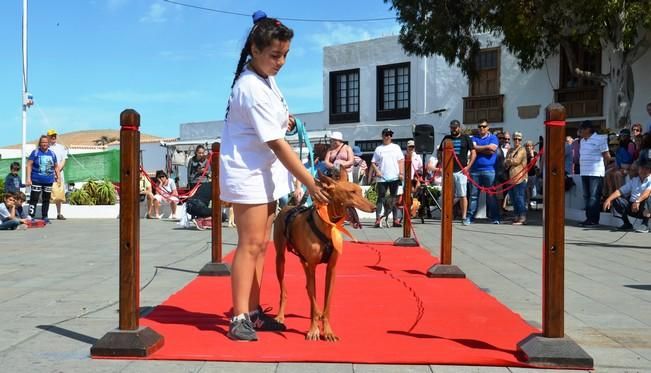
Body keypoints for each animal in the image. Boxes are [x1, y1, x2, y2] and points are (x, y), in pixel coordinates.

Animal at [274, 169, 374, 340]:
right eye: (351, 192)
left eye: (360, 190)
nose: (374, 207)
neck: (328, 225)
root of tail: (289, 207)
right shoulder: (312, 267)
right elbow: (313, 299)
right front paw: (313, 330)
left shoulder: (331, 269)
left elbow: (326, 303)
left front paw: (327, 331)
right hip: (280, 260)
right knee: (285, 290)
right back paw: (280, 316)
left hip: (303, 262)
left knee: (307, 287)